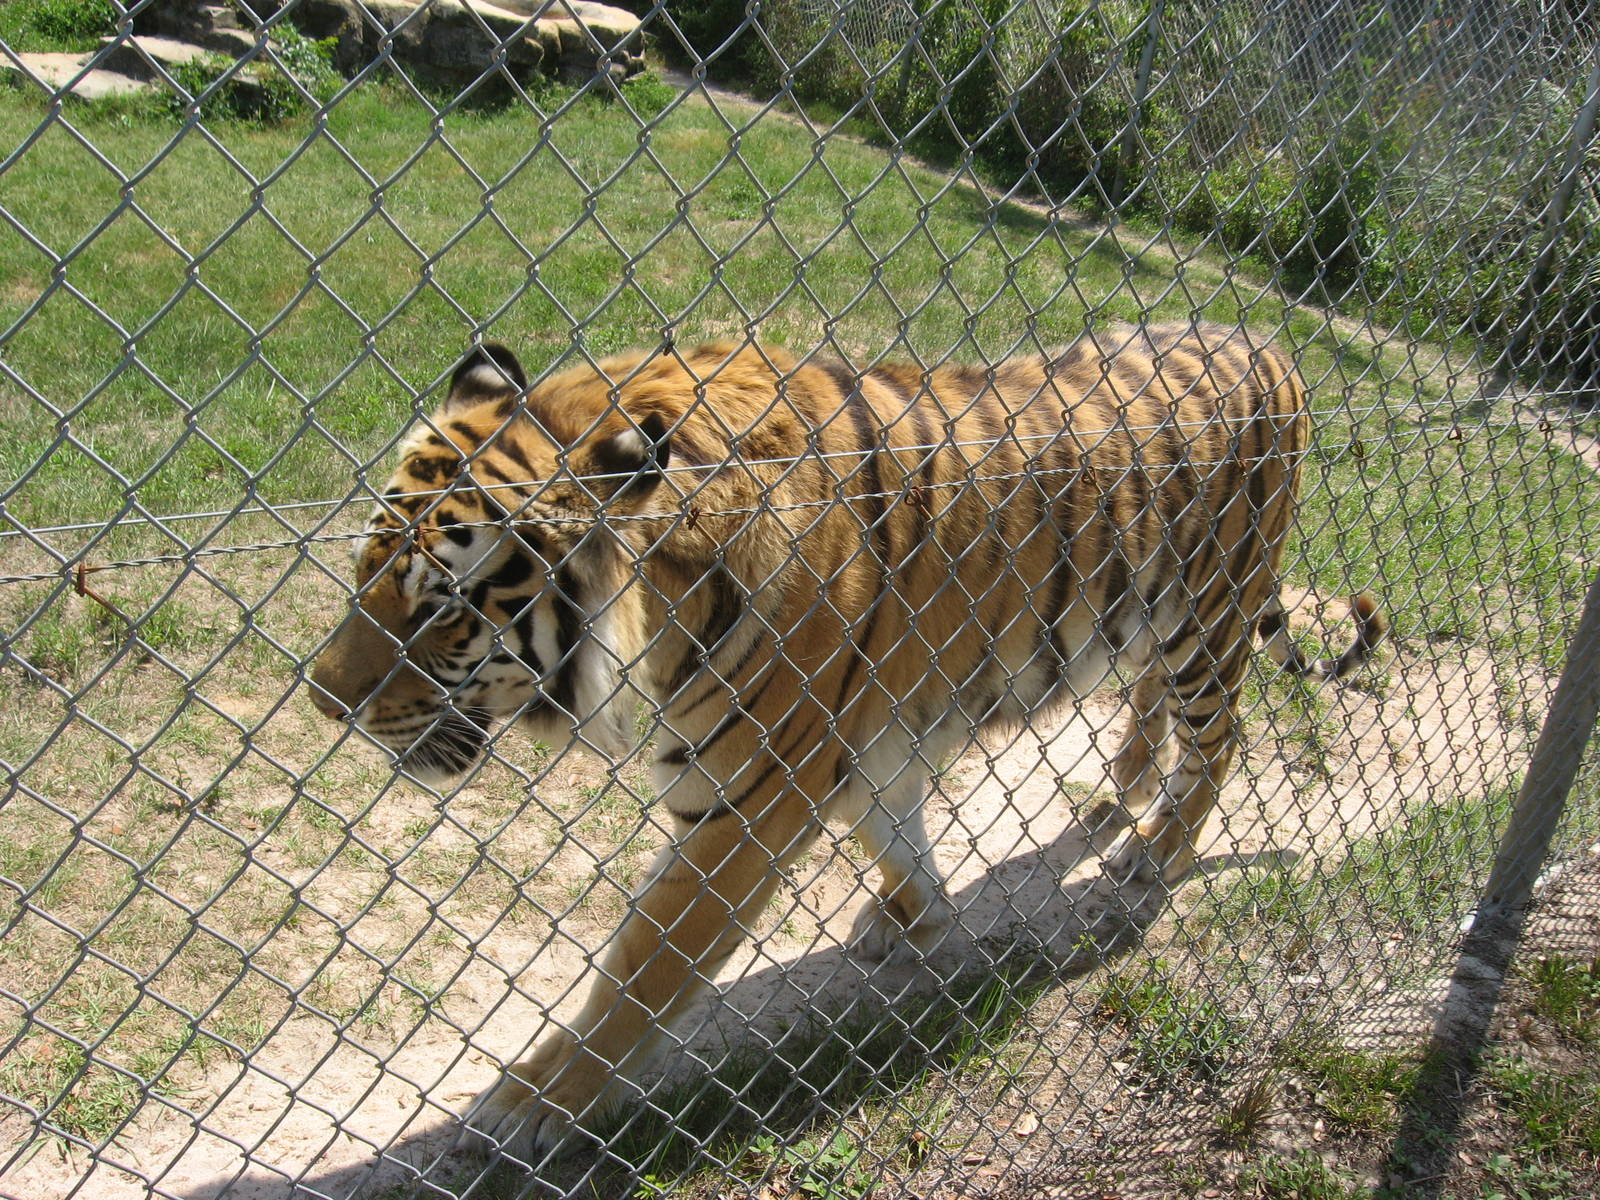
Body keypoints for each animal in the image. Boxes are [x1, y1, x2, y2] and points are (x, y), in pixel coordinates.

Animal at [308, 322, 1385, 1160]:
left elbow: (642, 970)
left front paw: (530, 1102)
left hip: (1210, 617)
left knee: (1222, 738)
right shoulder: (855, 743)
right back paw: (1117, 791)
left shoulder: (749, 796)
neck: (664, 590)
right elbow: (892, 827)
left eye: (439, 607)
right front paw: (913, 918)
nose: (321, 702)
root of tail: (1270, 344)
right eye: (362, 569)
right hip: (1157, 619)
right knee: (1152, 697)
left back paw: (1154, 852)